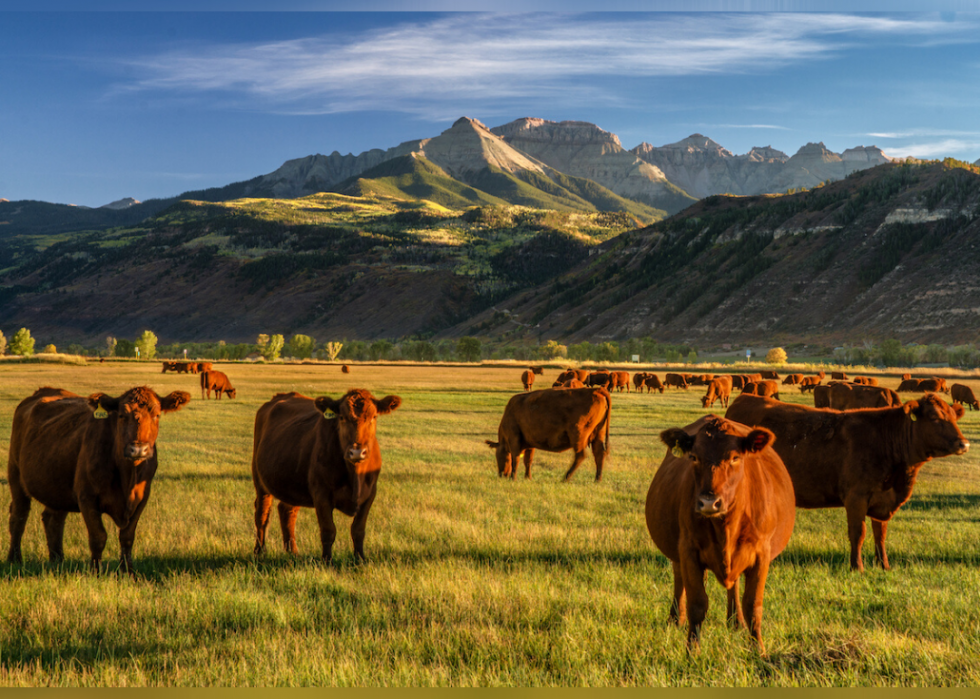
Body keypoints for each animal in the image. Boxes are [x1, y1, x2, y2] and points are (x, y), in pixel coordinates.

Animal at [6, 382, 191, 576]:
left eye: (156, 415)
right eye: (122, 415)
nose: (138, 449)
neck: (127, 477)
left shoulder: (141, 498)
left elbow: (127, 537)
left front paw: (128, 571)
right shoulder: (87, 498)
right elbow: (98, 536)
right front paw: (95, 571)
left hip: (57, 486)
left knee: (53, 520)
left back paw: (57, 560)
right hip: (16, 475)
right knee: (18, 517)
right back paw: (14, 559)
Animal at [253, 388, 406, 564]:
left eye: (374, 417)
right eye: (342, 417)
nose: (357, 452)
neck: (355, 475)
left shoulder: (370, 494)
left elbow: (358, 530)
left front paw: (360, 559)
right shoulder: (321, 495)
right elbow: (328, 530)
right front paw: (327, 561)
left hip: (292, 483)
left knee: (287, 511)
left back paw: (293, 552)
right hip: (260, 481)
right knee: (262, 514)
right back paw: (259, 551)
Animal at [644, 416, 796, 656]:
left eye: (735, 457)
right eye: (694, 457)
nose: (708, 502)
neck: (726, 527)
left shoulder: (761, 553)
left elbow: (753, 604)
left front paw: (758, 650)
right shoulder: (688, 549)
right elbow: (698, 603)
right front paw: (692, 651)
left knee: (734, 586)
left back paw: (736, 622)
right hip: (678, 552)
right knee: (679, 580)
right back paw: (676, 619)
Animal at [724, 394, 968, 576]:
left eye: (954, 416)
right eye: (934, 417)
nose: (963, 443)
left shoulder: (882, 499)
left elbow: (880, 534)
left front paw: (884, 565)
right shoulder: (856, 497)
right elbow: (858, 533)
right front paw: (857, 567)